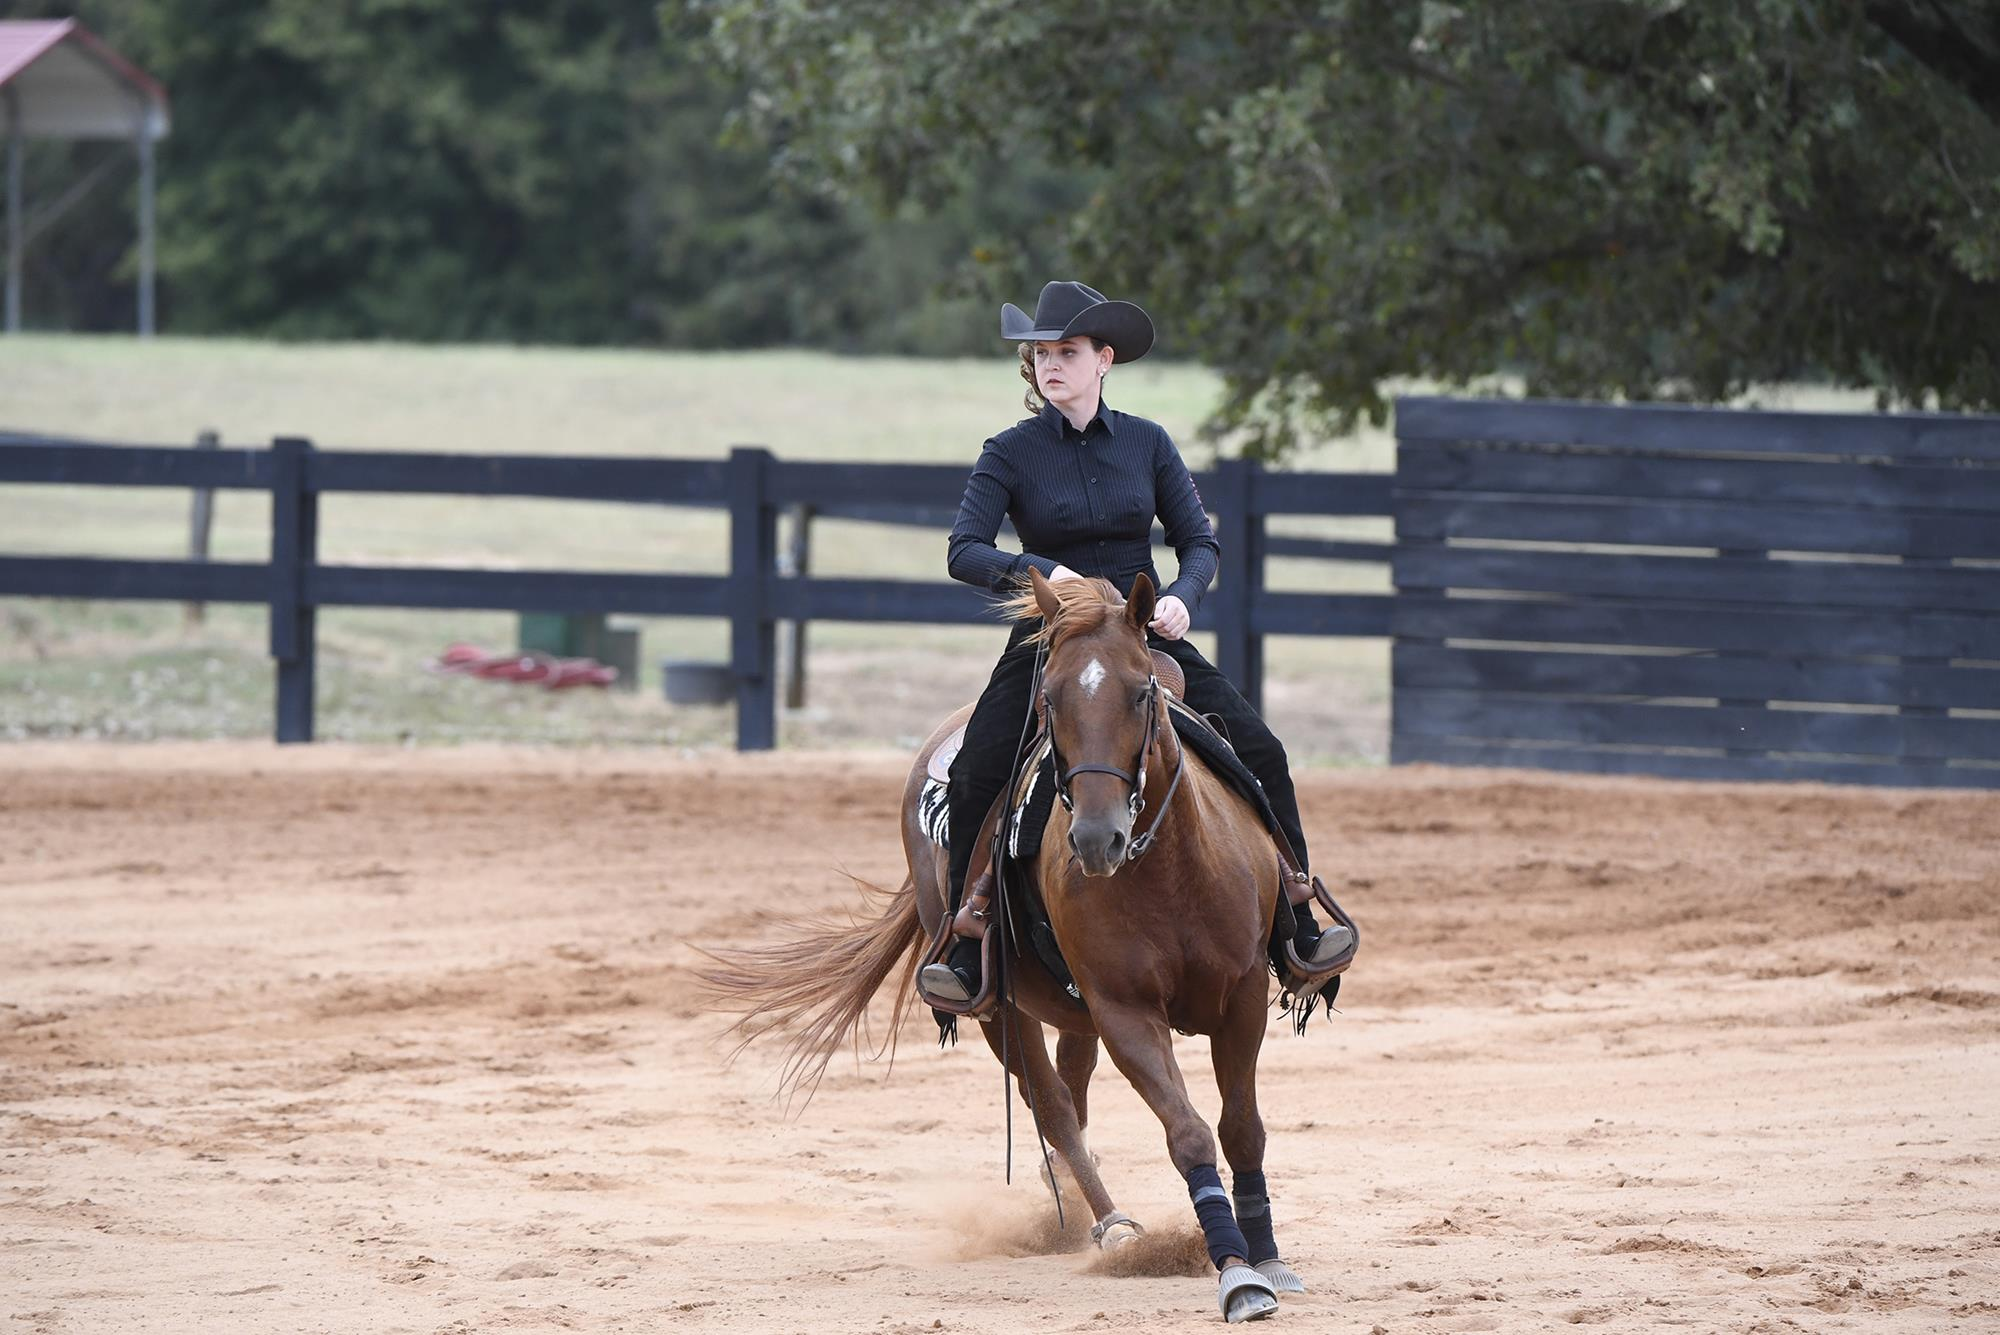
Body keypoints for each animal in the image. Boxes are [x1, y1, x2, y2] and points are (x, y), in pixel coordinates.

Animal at [712, 571, 1304, 1327]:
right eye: (1048, 700)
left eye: (1142, 692)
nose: (1095, 839)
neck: (1172, 870)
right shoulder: (1126, 1012)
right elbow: (1190, 1131)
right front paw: (1234, 1271)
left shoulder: (1244, 1000)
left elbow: (1242, 1129)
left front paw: (1267, 1254)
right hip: (1001, 1007)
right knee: (1052, 1104)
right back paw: (1109, 1223)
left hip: (1073, 1010)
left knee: (1073, 1089)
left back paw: (1076, 1209)